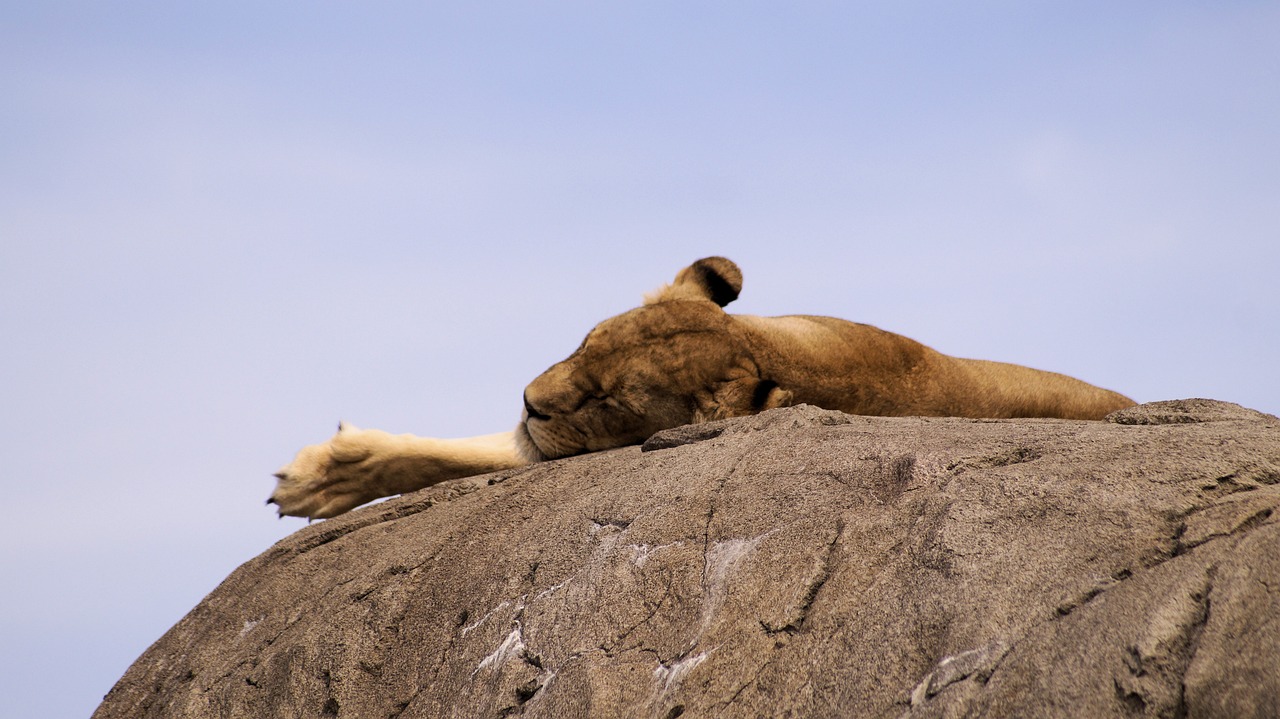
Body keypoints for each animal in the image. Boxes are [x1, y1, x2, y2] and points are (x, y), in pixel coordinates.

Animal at [270, 254, 1131, 516]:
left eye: (609, 403)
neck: (768, 351)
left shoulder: (559, 443)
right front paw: (321, 478)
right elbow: (436, 454)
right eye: (583, 341)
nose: (528, 400)